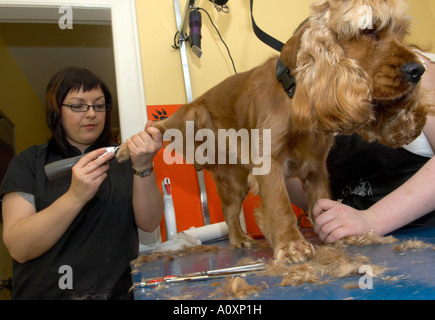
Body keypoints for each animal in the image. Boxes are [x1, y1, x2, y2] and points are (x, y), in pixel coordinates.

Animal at [116, 0, 432, 262]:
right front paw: (292, 246)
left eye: (402, 33)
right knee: (163, 125)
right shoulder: (268, 161)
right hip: (192, 115)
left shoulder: (315, 167)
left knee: (230, 211)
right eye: (369, 30)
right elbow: (280, 205)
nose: (419, 70)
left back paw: (239, 238)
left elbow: (322, 200)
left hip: (235, 178)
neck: (293, 90)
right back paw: (128, 146)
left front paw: (337, 232)